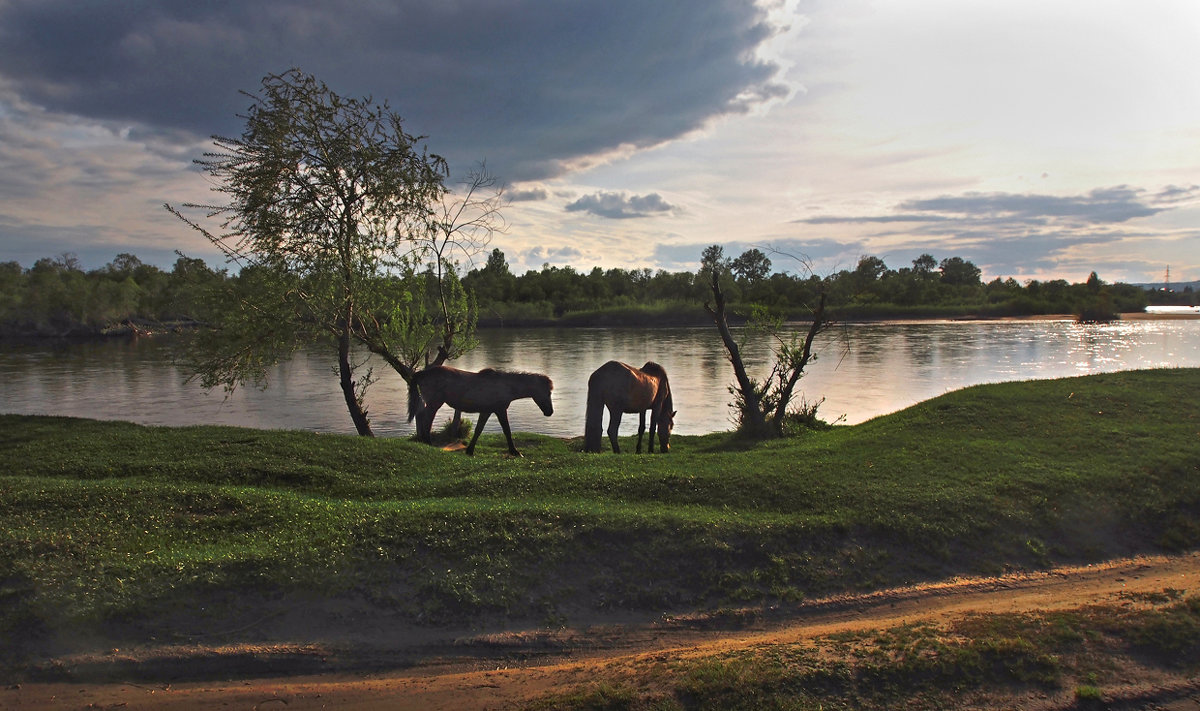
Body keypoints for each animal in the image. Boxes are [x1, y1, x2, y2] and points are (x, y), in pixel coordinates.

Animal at [405, 362, 549, 458]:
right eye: (547, 392)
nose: (550, 412)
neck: (504, 385)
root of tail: (423, 373)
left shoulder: (486, 411)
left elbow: (479, 430)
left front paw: (470, 450)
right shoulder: (500, 410)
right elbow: (507, 431)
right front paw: (515, 451)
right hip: (434, 403)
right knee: (426, 418)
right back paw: (427, 442)